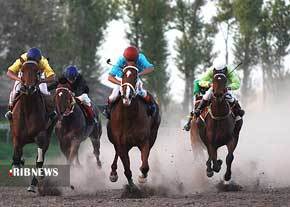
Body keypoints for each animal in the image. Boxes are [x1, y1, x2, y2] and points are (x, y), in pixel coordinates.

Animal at [9, 59, 55, 192]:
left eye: (37, 71)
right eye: (22, 70)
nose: (29, 88)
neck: (28, 108)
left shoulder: (41, 136)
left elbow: (39, 159)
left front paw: (37, 179)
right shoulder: (17, 135)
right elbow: (16, 153)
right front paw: (17, 164)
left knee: (40, 156)